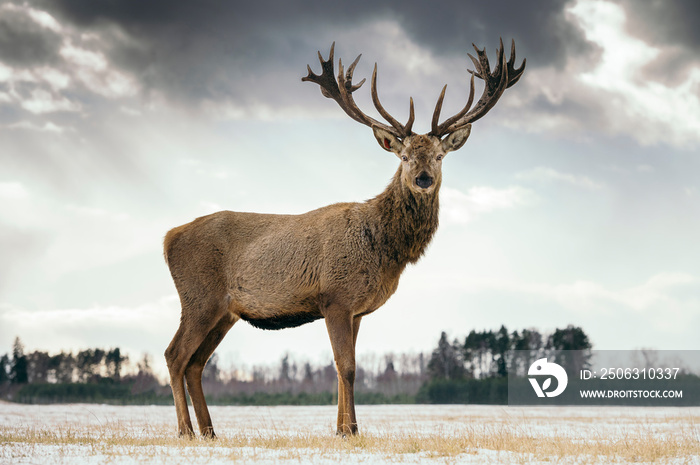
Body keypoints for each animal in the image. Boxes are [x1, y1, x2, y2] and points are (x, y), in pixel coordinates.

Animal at [165, 38, 524, 436]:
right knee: (175, 355)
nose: (423, 179)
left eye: (440, 155)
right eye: (403, 156)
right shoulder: (335, 296)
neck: (384, 250)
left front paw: (341, 428)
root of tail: (168, 238)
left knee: (196, 362)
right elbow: (346, 367)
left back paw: (209, 431)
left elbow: (346, 368)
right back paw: (185, 430)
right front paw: (351, 429)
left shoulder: (357, 309)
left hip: (224, 311)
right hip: (199, 297)